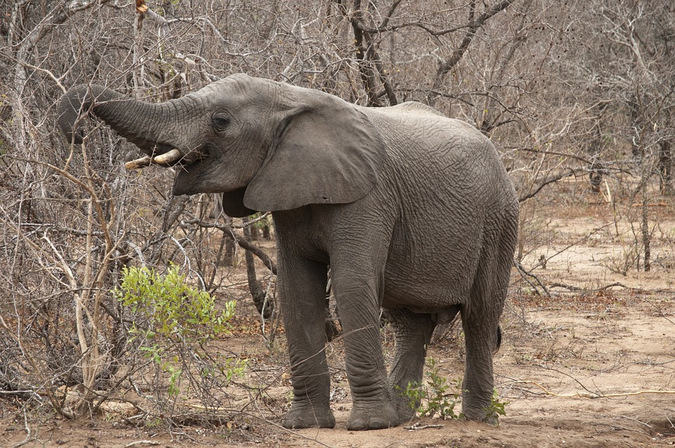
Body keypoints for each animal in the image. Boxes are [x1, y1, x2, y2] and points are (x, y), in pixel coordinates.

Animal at [58, 74, 520, 430]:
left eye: (220, 121)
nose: (75, 131)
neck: (291, 98)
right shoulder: (289, 191)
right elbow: (297, 291)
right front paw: (305, 424)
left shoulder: (369, 196)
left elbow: (351, 285)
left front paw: (369, 426)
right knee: (411, 322)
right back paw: (403, 417)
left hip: (500, 219)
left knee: (480, 316)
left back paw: (477, 418)